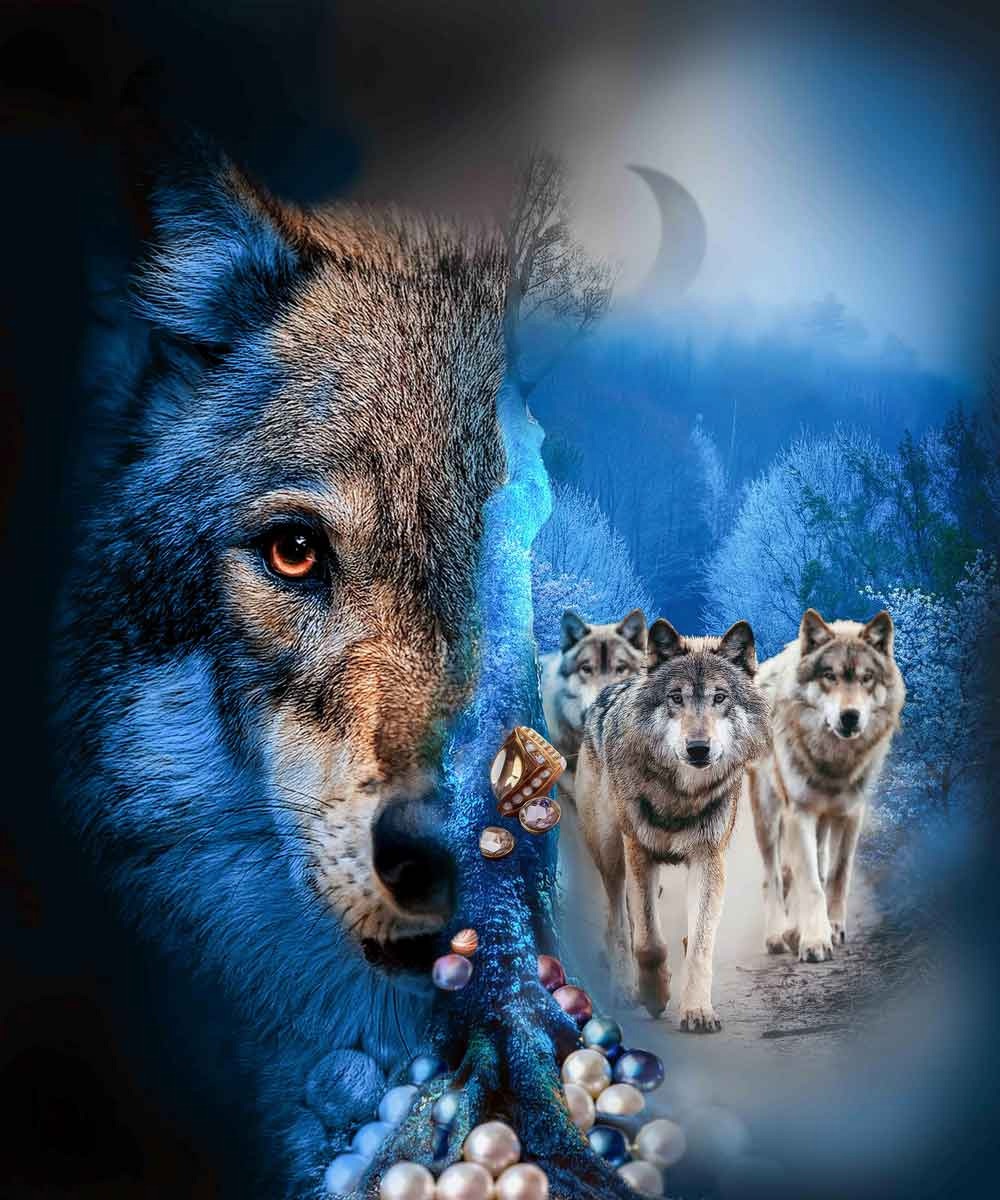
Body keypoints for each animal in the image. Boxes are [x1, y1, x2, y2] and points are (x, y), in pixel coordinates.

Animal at [575, 618, 769, 1029]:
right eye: (676, 698)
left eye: (719, 698)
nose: (698, 748)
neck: (680, 795)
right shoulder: (639, 852)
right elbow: (648, 942)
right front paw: (654, 994)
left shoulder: (708, 860)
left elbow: (699, 944)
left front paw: (697, 1010)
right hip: (610, 853)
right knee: (618, 922)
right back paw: (624, 989)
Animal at [746, 609, 905, 963]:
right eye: (829, 676)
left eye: (866, 677)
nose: (850, 716)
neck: (835, 762)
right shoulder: (799, 813)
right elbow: (811, 885)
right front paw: (815, 940)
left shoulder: (851, 813)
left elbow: (836, 876)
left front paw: (831, 929)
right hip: (768, 814)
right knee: (772, 876)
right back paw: (778, 935)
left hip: (819, 823)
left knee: (812, 866)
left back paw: (795, 929)